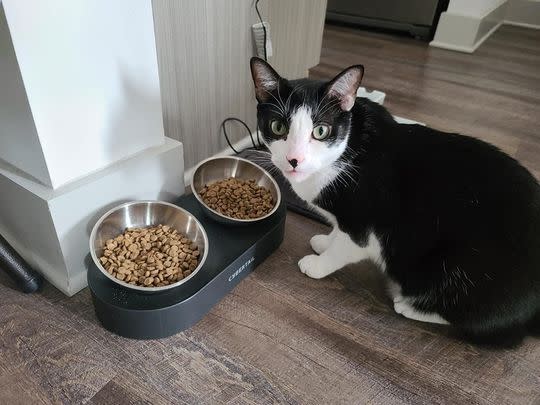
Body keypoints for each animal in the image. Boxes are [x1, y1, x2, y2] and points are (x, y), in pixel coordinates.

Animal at [250, 56, 540, 340]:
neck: (348, 150)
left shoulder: (365, 225)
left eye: (320, 131)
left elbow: (348, 247)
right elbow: (338, 229)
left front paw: (319, 264)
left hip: (459, 272)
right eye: (278, 126)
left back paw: (409, 306)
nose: (294, 160)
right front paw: (325, 241)